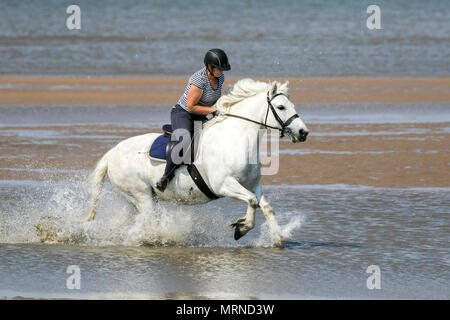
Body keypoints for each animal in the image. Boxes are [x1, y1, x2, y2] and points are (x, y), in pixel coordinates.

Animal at [82, 79, 310, 246]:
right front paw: (241, 228)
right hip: (142, 196)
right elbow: (252, 201)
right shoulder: (224, 185)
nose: (303, 132)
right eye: (281, 107)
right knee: (147, 221)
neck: (236, 137)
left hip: (134, 199)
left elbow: (265, 207)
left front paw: (276, 239)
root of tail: (112, 153)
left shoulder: (252, 184)